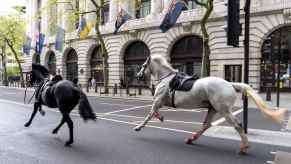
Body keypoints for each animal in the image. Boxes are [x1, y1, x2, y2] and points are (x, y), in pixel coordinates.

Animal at [134, 54, 288, 154]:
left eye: (143, 65)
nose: (138, 76)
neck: (166, 78)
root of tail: (230, 84)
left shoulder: (158, 101)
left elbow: (150, 113)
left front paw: (139, 127)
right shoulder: (160, 102)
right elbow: (154, 112)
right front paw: (160, 118)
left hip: (223, 110)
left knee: (237, 125)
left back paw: (244, 147)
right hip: (213, 108)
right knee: (206, 125)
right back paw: (191, 138)